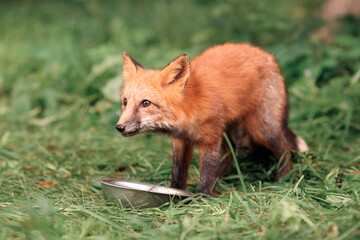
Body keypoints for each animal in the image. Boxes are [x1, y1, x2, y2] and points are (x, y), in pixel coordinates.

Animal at [115, 43, 306, 196]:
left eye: (146, 103)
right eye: (125, 102)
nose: (119, 127)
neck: (189, 109)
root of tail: (267, 55)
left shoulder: (210, 139)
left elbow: (207, 171)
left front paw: (203, 198)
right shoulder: (181, 141)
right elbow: (178, 172)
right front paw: (175, 194)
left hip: (260, 129)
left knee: (284, 149)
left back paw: (282, 179)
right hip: (229, 130)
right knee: (230, 153)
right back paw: (221, 181)